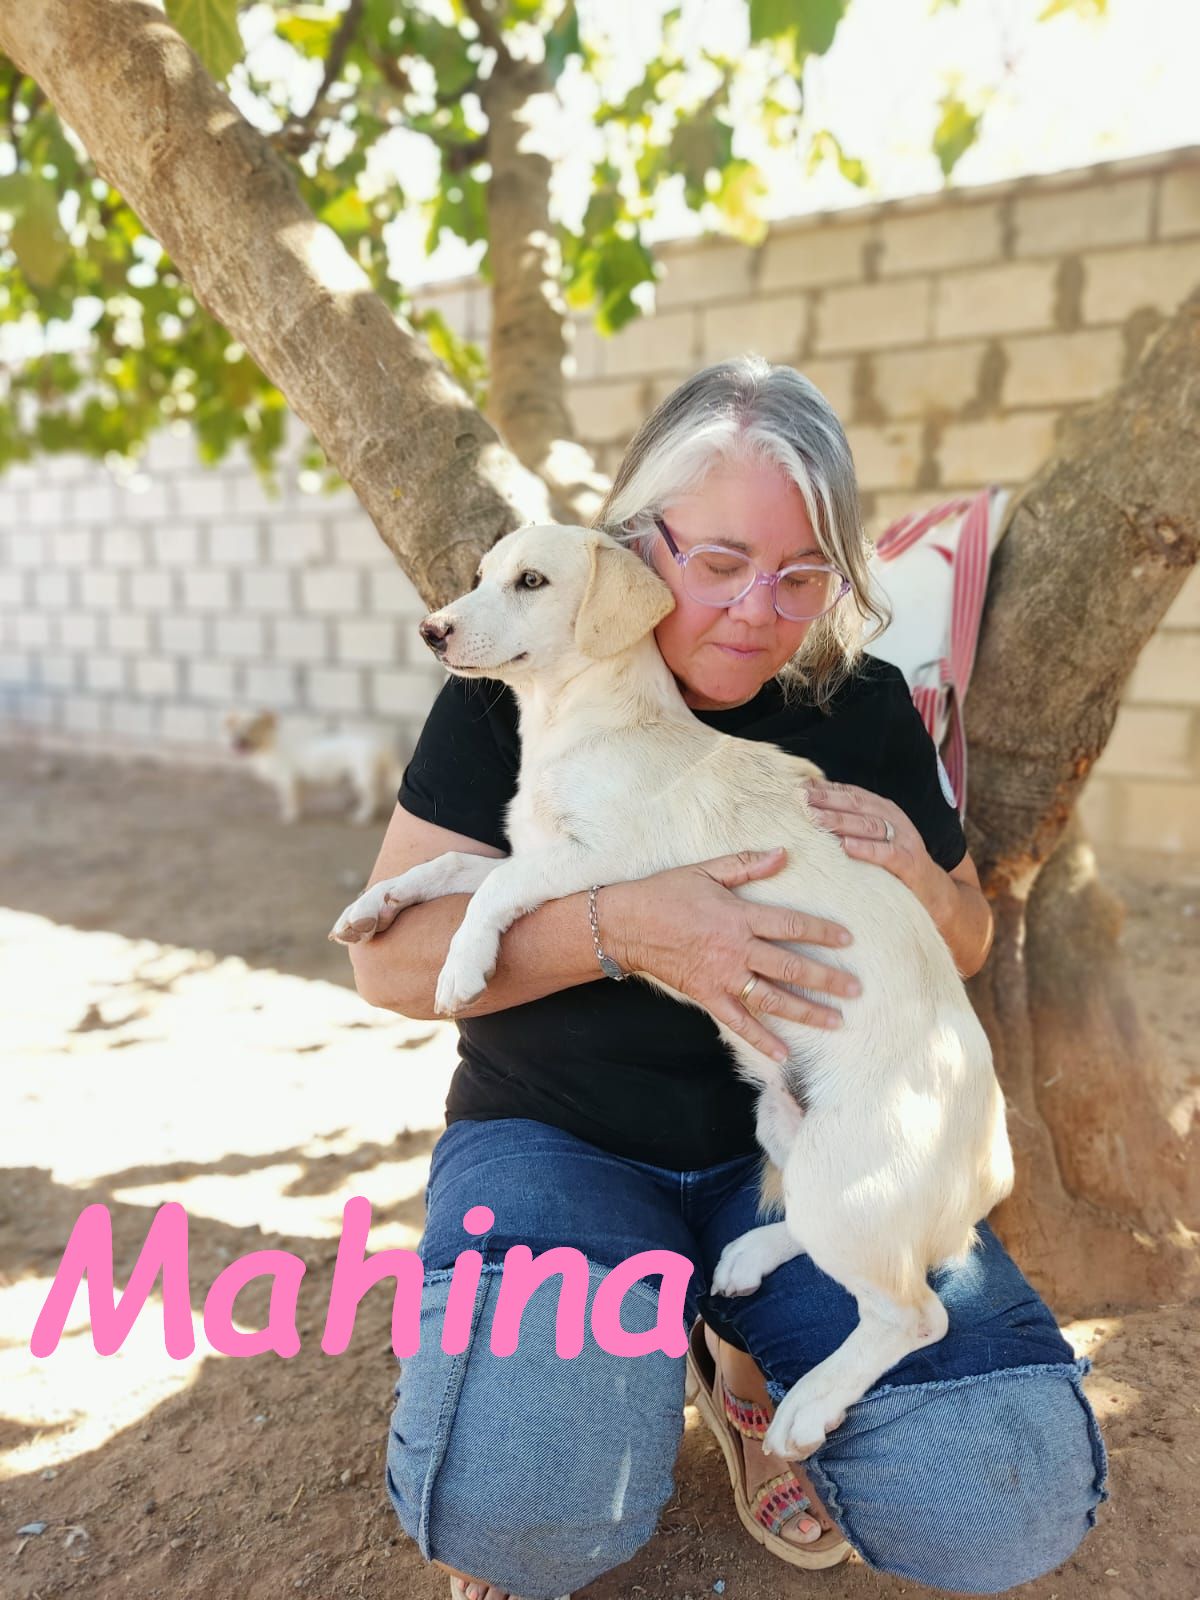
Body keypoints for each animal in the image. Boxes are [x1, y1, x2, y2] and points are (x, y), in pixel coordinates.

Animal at [224, 709, 402, 825]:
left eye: (254, 726)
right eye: (235, 727)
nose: (238, 739)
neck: (269, 747)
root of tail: (382, 745)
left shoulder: (288, 780)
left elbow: (290, 800)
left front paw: (290, 816)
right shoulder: (297, 782)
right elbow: (298, 798)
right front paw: (297, 812)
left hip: (362, 777)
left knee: (373, 797)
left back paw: (362, 816)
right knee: (377, 795)